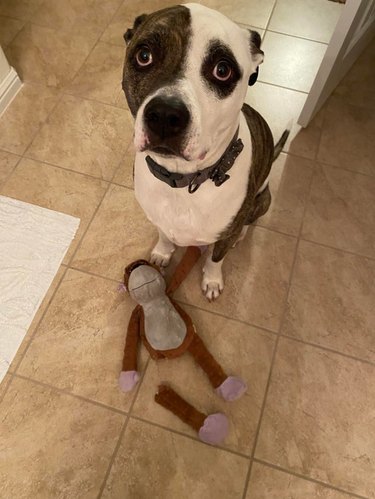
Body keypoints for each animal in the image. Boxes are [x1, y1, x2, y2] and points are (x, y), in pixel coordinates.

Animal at [122, 2, 290, 300]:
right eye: (144, 56)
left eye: (222, 70)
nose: (165, 115)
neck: (182, 182)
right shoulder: (158, 217)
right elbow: (164, 235)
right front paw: (162, 253)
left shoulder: (223, 237)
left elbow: (215, 258)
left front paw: (211, 281)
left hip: (263, 200)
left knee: (247, 222)